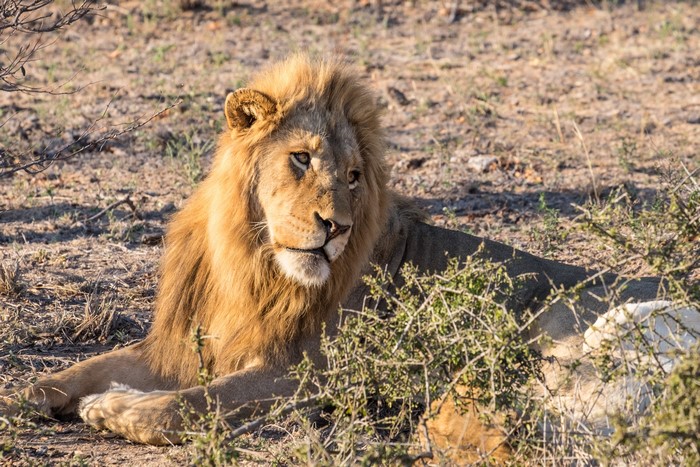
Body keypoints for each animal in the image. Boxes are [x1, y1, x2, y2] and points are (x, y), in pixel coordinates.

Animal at [1, 55, 697, 461]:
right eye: (301, 159)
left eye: (355, 176)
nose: (333, 228)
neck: (253, 266)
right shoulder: (192, 343)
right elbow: (81, 369)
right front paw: (28, 397)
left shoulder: (311, 369)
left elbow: (199, 400)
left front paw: (117, 408)